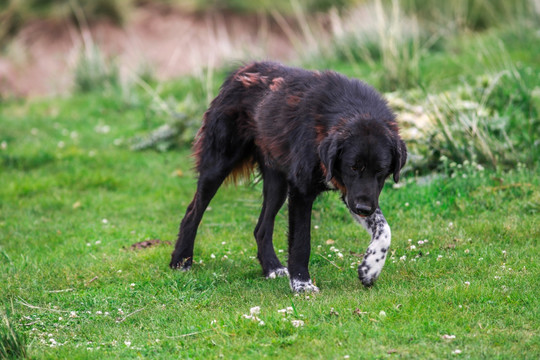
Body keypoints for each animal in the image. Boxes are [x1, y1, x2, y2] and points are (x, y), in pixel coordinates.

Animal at [169, 62, 404, 292]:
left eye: (381, 170)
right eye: (353, 167)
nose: (363, 210)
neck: (355, 110)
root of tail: (240, 71)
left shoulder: (352, 193)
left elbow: (384, 229)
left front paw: (370, 268)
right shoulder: (303, 191)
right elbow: (301, 242)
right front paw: (302, 284)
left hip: (277, 184)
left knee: (261, 229)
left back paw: (272, 267)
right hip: (218, 166)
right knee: (192, 212)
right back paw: (181, 260)